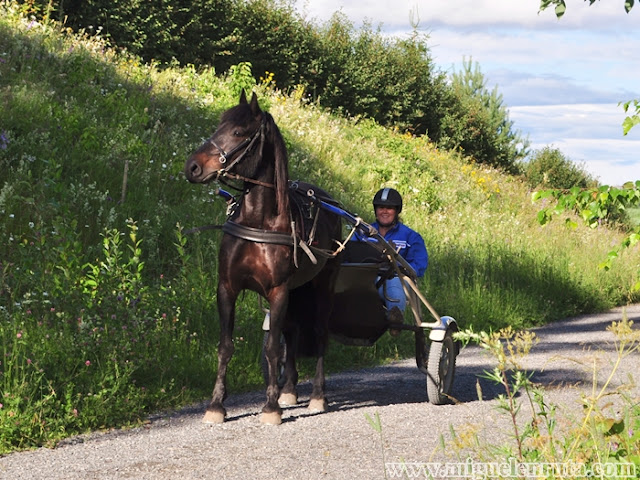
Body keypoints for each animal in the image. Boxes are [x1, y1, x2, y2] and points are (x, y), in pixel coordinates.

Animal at [185, 91, 344, 424]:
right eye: (219, 125)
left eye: (237, 132)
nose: (191, 167)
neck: (258, 222)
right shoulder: (227, 288)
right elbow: (226, 346)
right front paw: (216, 404)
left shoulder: (278, 291)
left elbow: (272, 348)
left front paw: (270, 407)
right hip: (297, 289)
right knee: (292, 332)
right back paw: (289, 389)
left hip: (322, 286)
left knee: (319, 334)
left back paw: (317, 395)